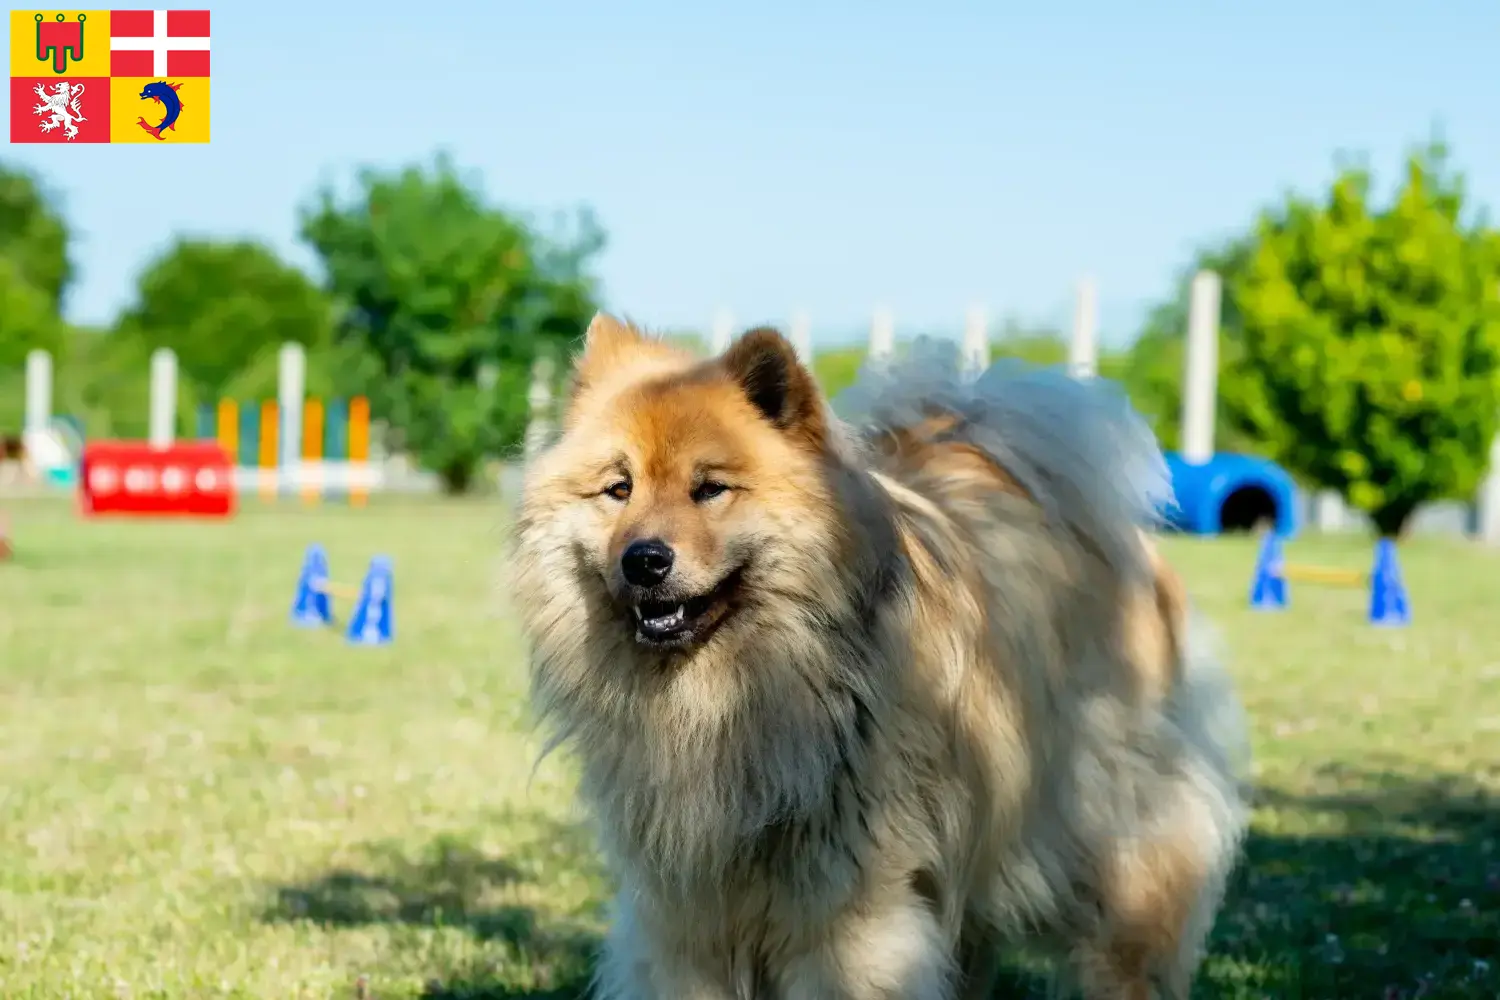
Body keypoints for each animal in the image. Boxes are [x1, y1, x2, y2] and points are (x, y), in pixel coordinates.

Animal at [510, 314, 1248, 1000]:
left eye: (710, 488)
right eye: (619, 489)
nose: (644, 559)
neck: (733, 698)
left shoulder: (849, 917)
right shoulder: (685, 917)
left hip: (1107, 847)